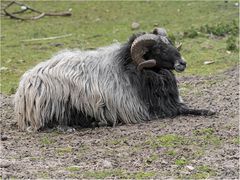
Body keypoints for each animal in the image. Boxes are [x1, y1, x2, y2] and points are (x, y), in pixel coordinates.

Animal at [14, 27, 215, 131]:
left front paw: (208, 110)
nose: (183, 63)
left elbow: (186, 107)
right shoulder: (146, 110)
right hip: (61, 106)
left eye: (170, 44)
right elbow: (183, 110)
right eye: (158, 49)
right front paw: (207, 111)